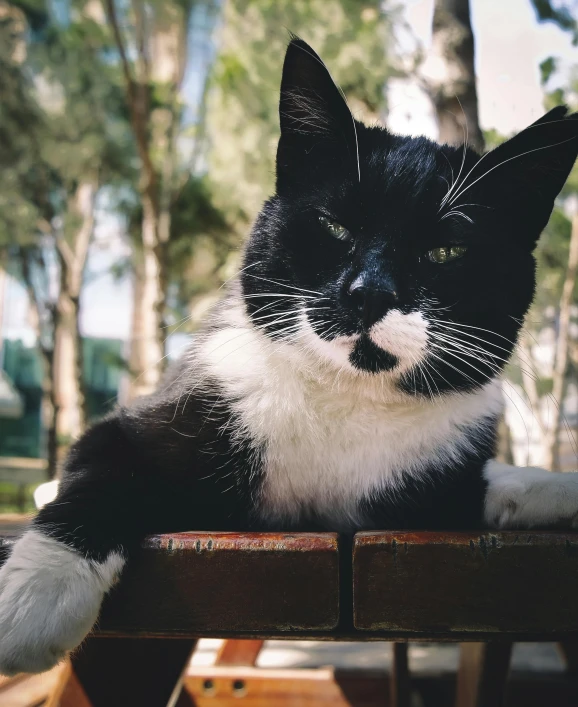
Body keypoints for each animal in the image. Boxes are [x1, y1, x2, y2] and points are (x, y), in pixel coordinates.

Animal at [1, 37, 576, 676]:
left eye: (445, 251)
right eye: (334, 226)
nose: (369, 293)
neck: (347, 399)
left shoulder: (427, 488)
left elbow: (486, 488)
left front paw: (555, 487)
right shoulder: (163, 415)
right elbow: (103, 466)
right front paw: (36, 594)